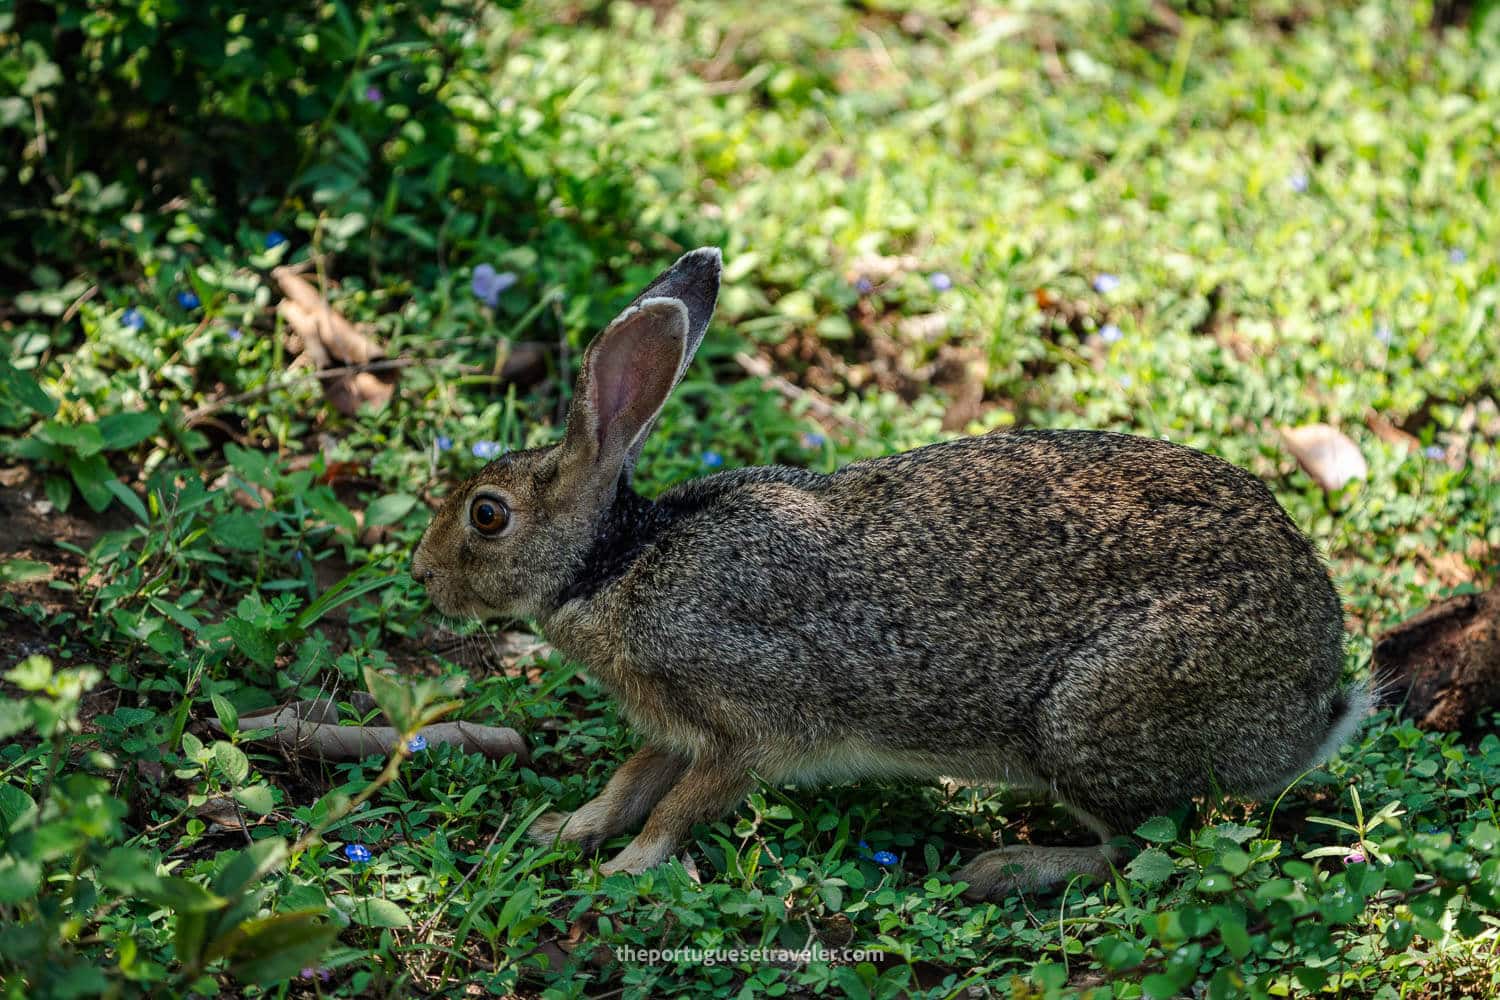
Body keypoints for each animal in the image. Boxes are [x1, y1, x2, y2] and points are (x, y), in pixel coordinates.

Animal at [409, 247, 1369, 899]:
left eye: (487, 515)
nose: (422, 576)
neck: (617, 562)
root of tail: (1314, 705)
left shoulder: (750, 723)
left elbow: (682, 808)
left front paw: (626, 871)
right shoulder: (677, 726)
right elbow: (627, 786)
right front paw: (559, 831)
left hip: (1089, 720)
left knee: (1139, 847)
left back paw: (1002, 866)